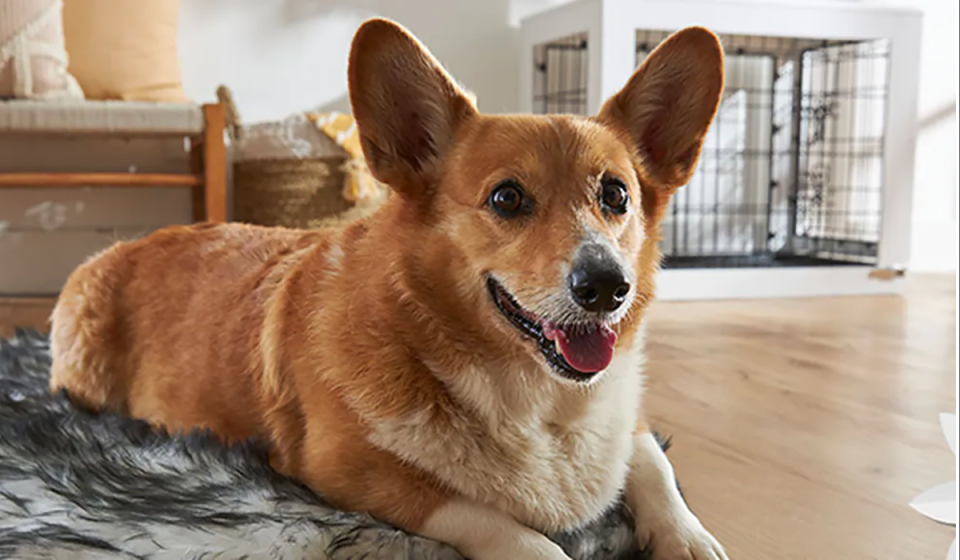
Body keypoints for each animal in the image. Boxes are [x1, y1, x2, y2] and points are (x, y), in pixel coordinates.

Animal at [48, 17, 724, 560]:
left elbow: (656, 468)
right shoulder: (347, 472)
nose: (608, 286)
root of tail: (130, 242)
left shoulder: (630, 426)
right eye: (507, 198)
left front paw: (689, 538)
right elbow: (502, 525)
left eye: (616, 195)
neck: (537, 402)